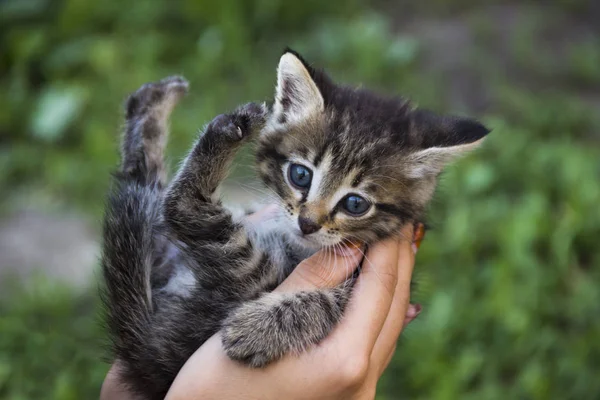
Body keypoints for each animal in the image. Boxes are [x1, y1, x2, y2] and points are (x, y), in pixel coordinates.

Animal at [101, 50, 490, 400]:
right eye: (300, 175)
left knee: (179, 206)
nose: (307, 223)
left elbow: (331, 302)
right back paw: (156, 102)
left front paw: (258, 329)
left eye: (355, 204)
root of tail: (149, 359)